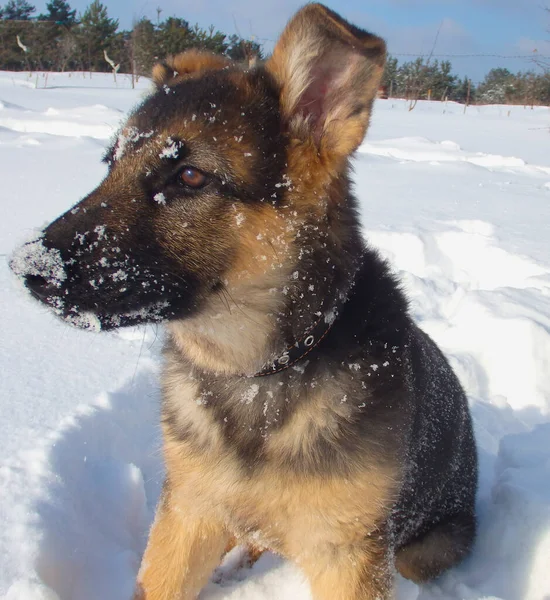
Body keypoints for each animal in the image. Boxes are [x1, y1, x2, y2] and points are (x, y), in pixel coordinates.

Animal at [11, 4, 478, 600]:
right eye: (109, 164)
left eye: (189, 176)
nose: (26, 268)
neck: (258, 373)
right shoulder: (187, 513)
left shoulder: (348, 553)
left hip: (428, 546)